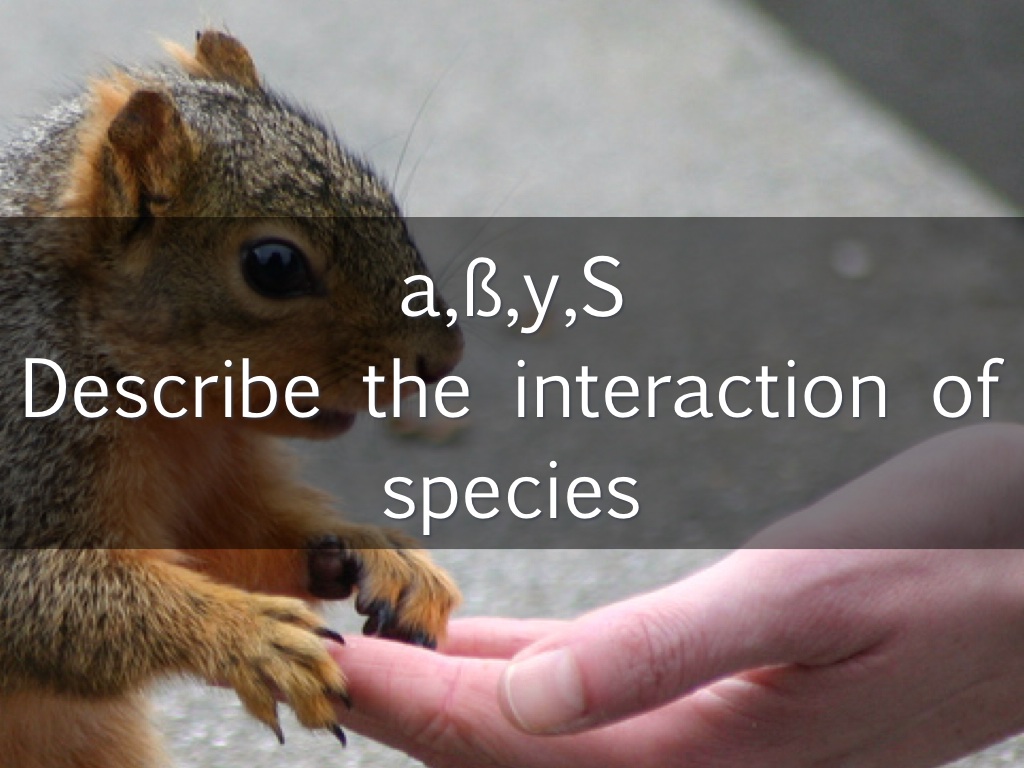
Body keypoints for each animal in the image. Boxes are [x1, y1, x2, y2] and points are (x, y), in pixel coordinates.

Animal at [0, 30, 464, 767]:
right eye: (273, 265)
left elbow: (233, 536)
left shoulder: (215, 476)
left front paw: (380, 553)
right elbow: (33, 597)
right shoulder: (26, 442)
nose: (445, 357)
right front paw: (253, 638)